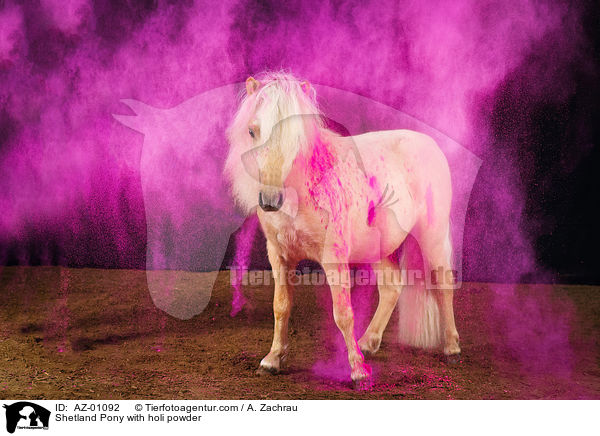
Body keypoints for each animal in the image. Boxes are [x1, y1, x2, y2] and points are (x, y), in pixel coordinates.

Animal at [225, 71, 460, 384]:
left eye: (296, 136)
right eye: (252, 131)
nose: (270, 199)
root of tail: (429, 144)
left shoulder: (334, 257)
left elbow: (343, 313)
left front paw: (358, 370)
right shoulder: (279, 256)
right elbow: (281, 307)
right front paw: (273, 359)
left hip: (432, 236)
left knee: (443, 284)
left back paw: (451, 346)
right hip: (379, 247)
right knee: (391, 287)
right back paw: (368, 342)